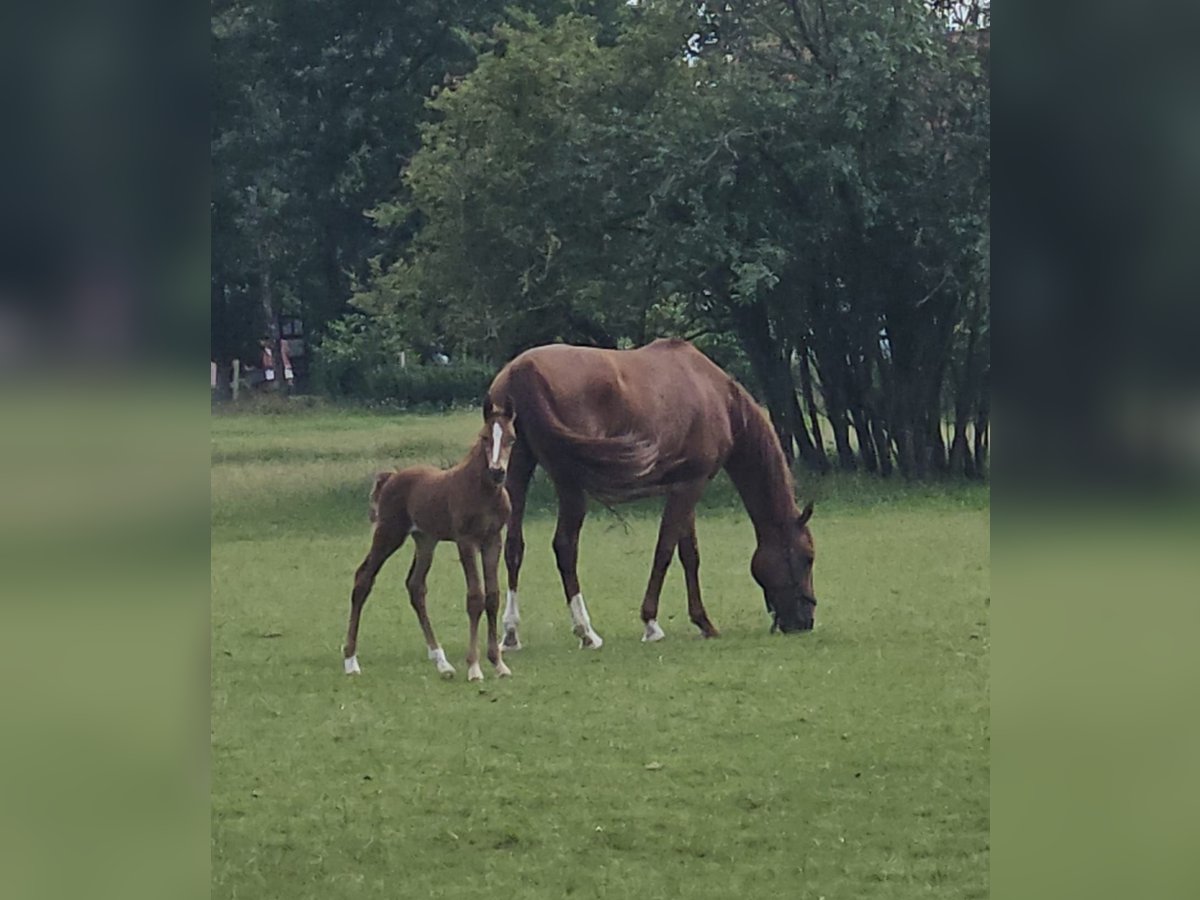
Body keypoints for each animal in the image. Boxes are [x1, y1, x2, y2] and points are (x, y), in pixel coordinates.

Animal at [343, 398, 520, 681]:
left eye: (512, 438)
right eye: (484, 437)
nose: (497, 472)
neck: (483, 491)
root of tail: (391, 477)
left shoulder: (492, 540)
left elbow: (492, 596)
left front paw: (498, 663)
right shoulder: (466, 541)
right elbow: (475, 597)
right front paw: (474, 667)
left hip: (425, 540)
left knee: (416, 586)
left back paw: (442, 661)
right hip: (389, 534)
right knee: (363, 579)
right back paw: (351, 661)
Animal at [484, 338, 816, 648]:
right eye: (808, 557)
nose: (806, 621)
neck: (713, 393)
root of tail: (522, 370)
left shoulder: (684, 486)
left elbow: (689, 554)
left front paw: (703, 622)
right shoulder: (691, 486)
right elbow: (665, 550)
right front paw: (651, 623)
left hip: (516, 471)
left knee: (514, 547)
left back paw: (511, 633)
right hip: (569, 484)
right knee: (565, 547)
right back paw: (586, 631)